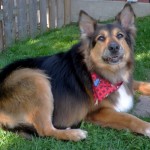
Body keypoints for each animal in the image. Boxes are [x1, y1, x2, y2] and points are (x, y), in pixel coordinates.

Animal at [0, 3, 150, 141]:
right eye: (101, 38)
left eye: (120, 35)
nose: (114, 47)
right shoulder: (97, 112)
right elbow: (128, 117)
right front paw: (147, 127)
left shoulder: (126, 80)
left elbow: (139, 83)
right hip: (33, 76)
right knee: (45, 130)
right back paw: (74, 133)